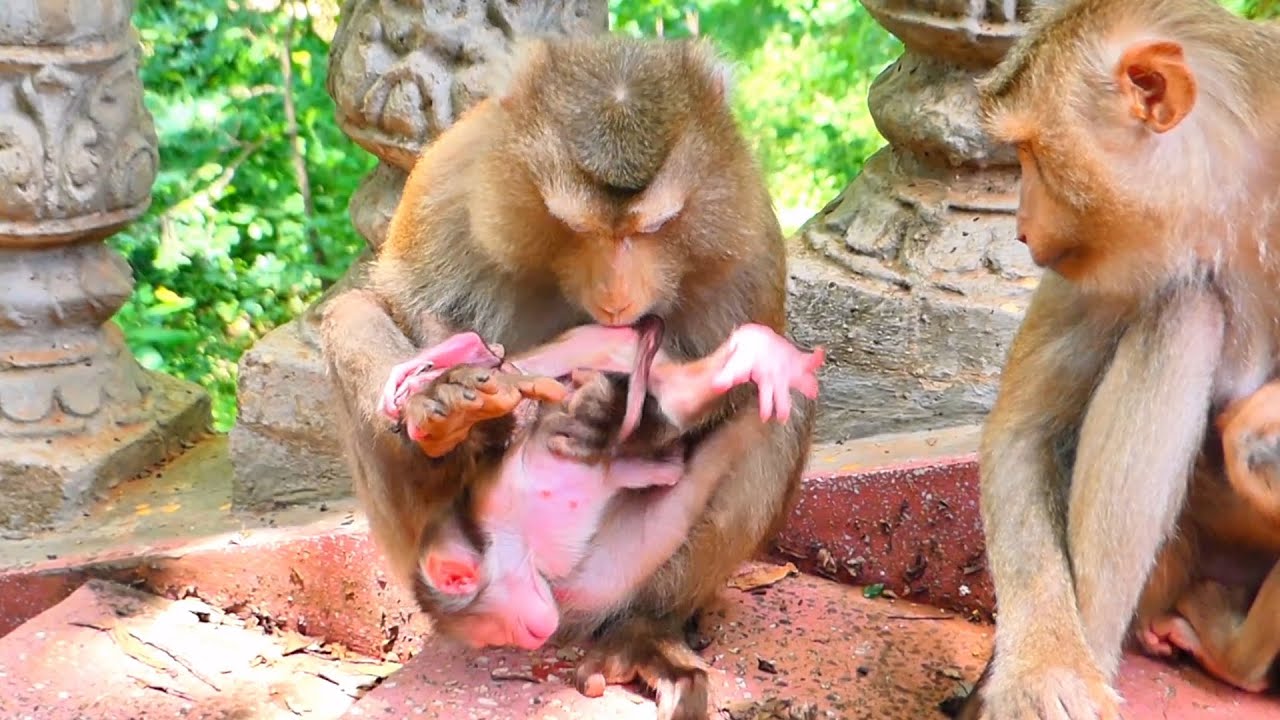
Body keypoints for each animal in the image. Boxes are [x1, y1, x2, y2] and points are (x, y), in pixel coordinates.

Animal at [949, 1, 1280, 718]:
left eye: (1032, 154)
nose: (1020, 225)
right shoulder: (1103, 256)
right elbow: (1025, 433)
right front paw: (1046, 669)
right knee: (1184, 314)